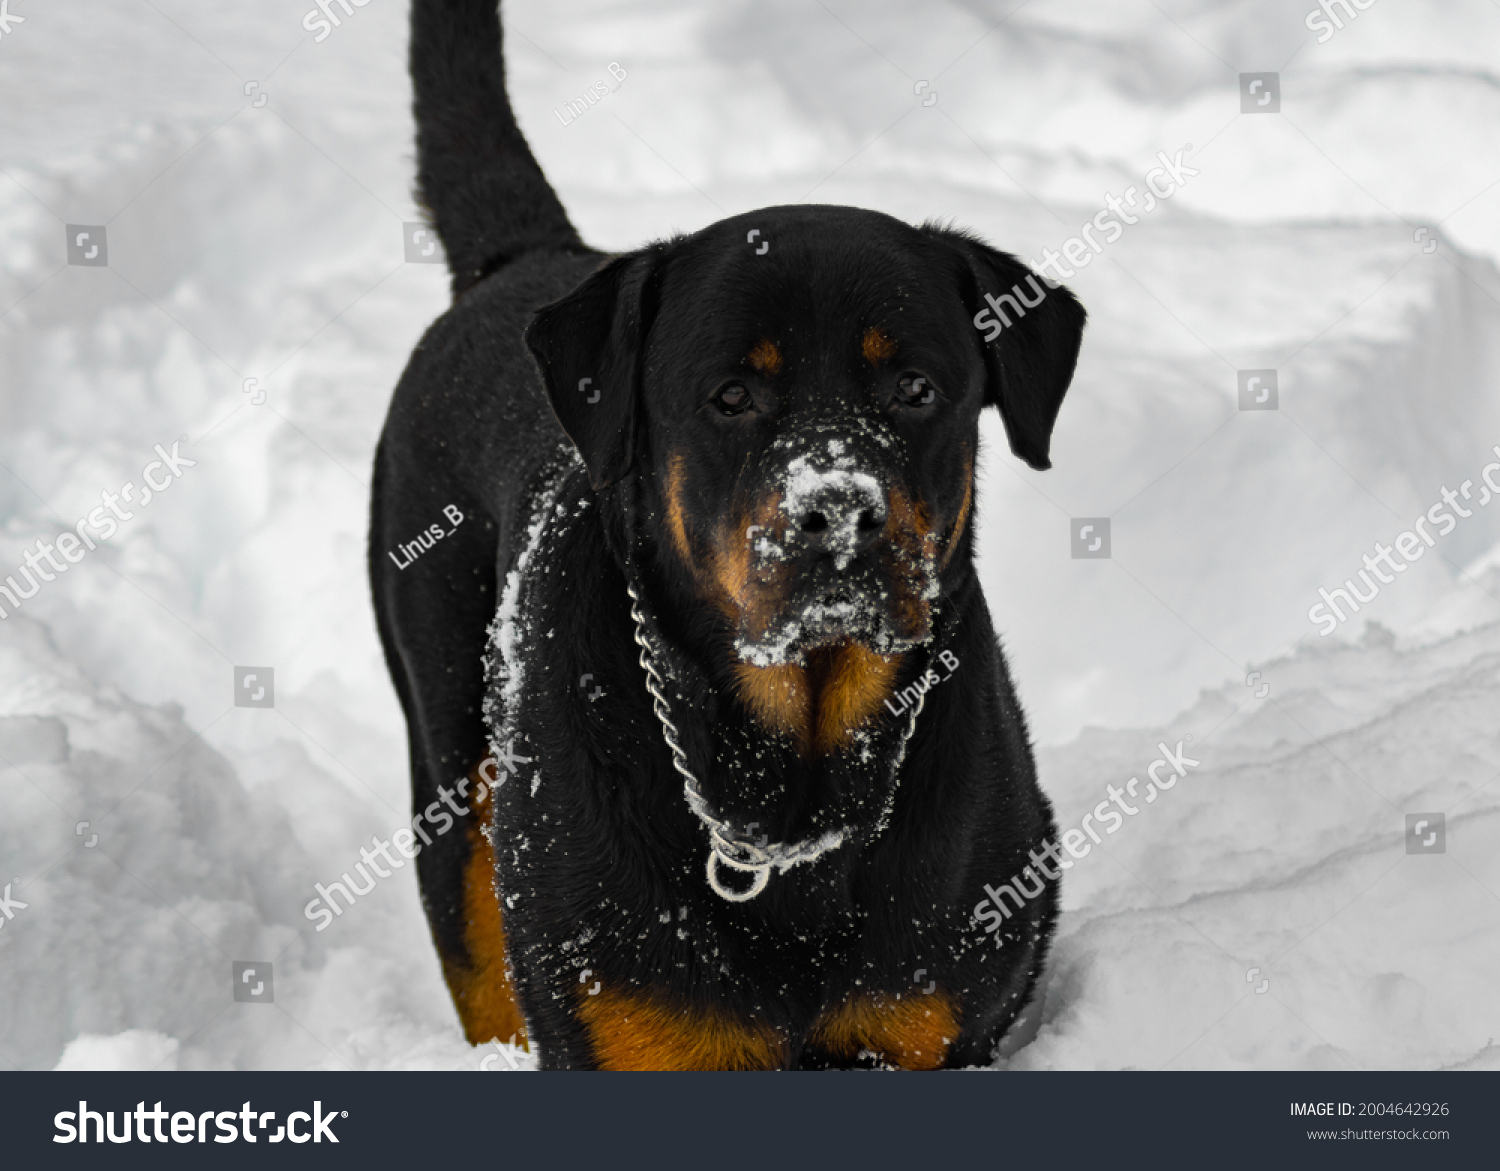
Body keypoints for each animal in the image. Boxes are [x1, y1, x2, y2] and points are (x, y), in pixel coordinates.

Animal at [369, 0, 1086, 1067]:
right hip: (450, 754)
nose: (838, 508)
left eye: (915, 388)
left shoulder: (936, 1020)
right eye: (732, 396)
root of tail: (527, 263)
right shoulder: (625, 1024)